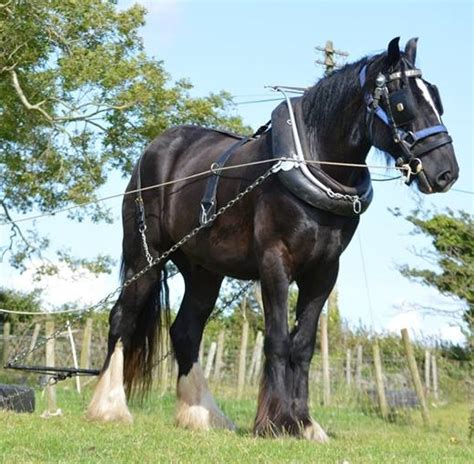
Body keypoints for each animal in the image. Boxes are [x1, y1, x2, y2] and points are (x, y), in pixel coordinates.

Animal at [86, 38, 460, 440]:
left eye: (436, 98)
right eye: (403, 101)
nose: (446, 172)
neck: (313, 163)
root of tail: (154, 149)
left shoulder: (323, 273)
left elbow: (304, 345)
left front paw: (305, 422)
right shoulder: (275, 262)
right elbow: (278, 340)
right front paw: (278, 422)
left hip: (204, 270)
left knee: (186, 330)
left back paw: (203, 415)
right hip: (146, 256)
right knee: (122, 317)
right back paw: (109, 407)